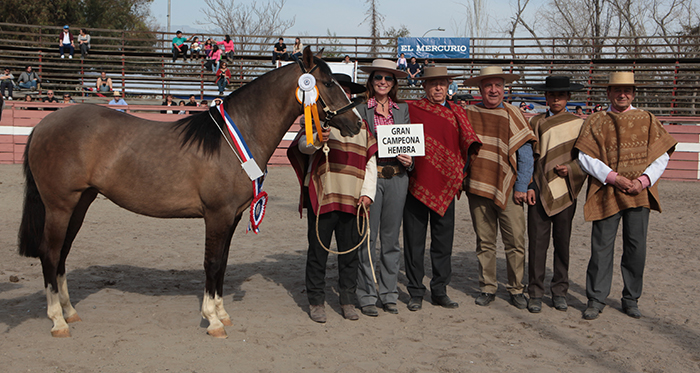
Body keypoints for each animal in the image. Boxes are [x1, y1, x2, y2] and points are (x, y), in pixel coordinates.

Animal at [19, 46, 364, 338]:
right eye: (328, 83)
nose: (357, 123)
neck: (234, 138)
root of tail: (43, 124)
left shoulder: (232, 217)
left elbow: (222, 263)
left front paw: (222, 314)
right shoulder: (217, 215)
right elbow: (211, 263)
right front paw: (212, 321)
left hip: (80, 203)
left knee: (62, 254)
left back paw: (70, 312)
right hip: (60, 206)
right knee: (50, 253)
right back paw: (58, 321)